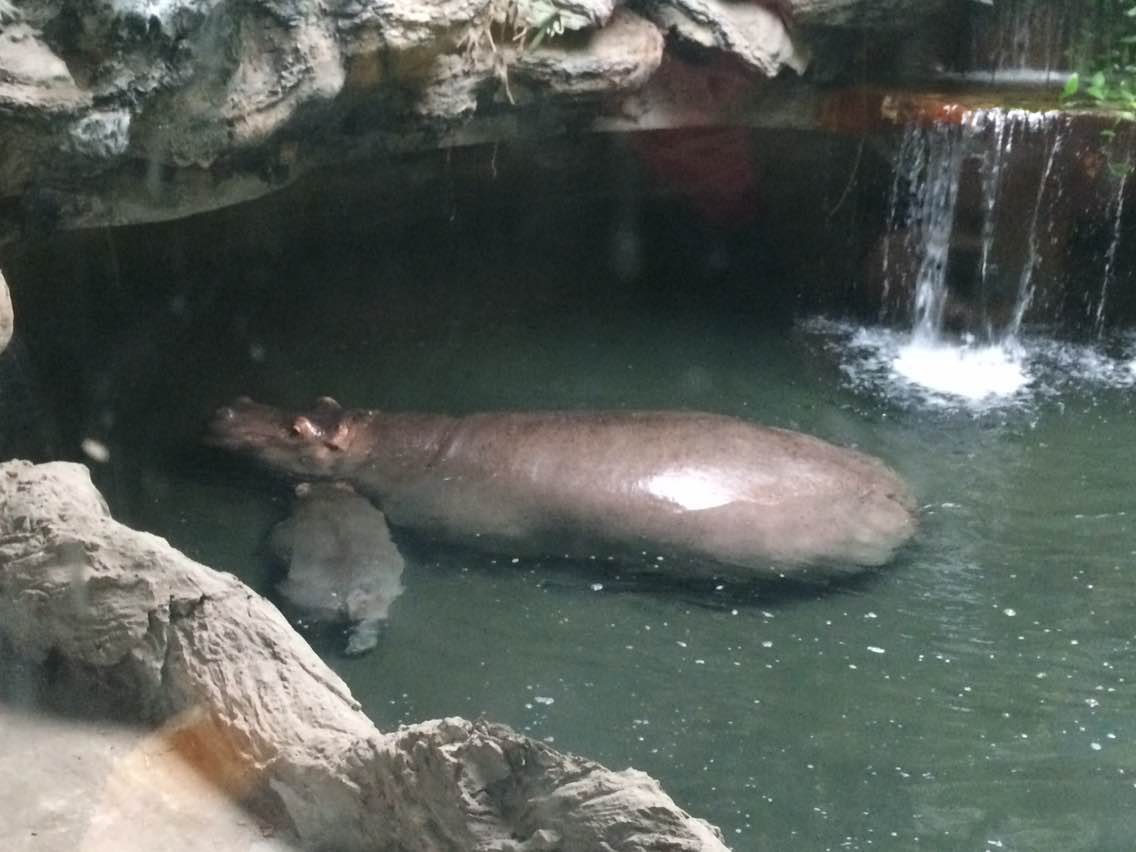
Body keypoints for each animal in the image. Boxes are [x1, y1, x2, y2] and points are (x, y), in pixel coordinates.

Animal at [268, 481, 405, 655]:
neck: (329, 496)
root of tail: (350, 594)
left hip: (304, 600)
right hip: (379, 599)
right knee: (370, 622)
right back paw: (358, 648)